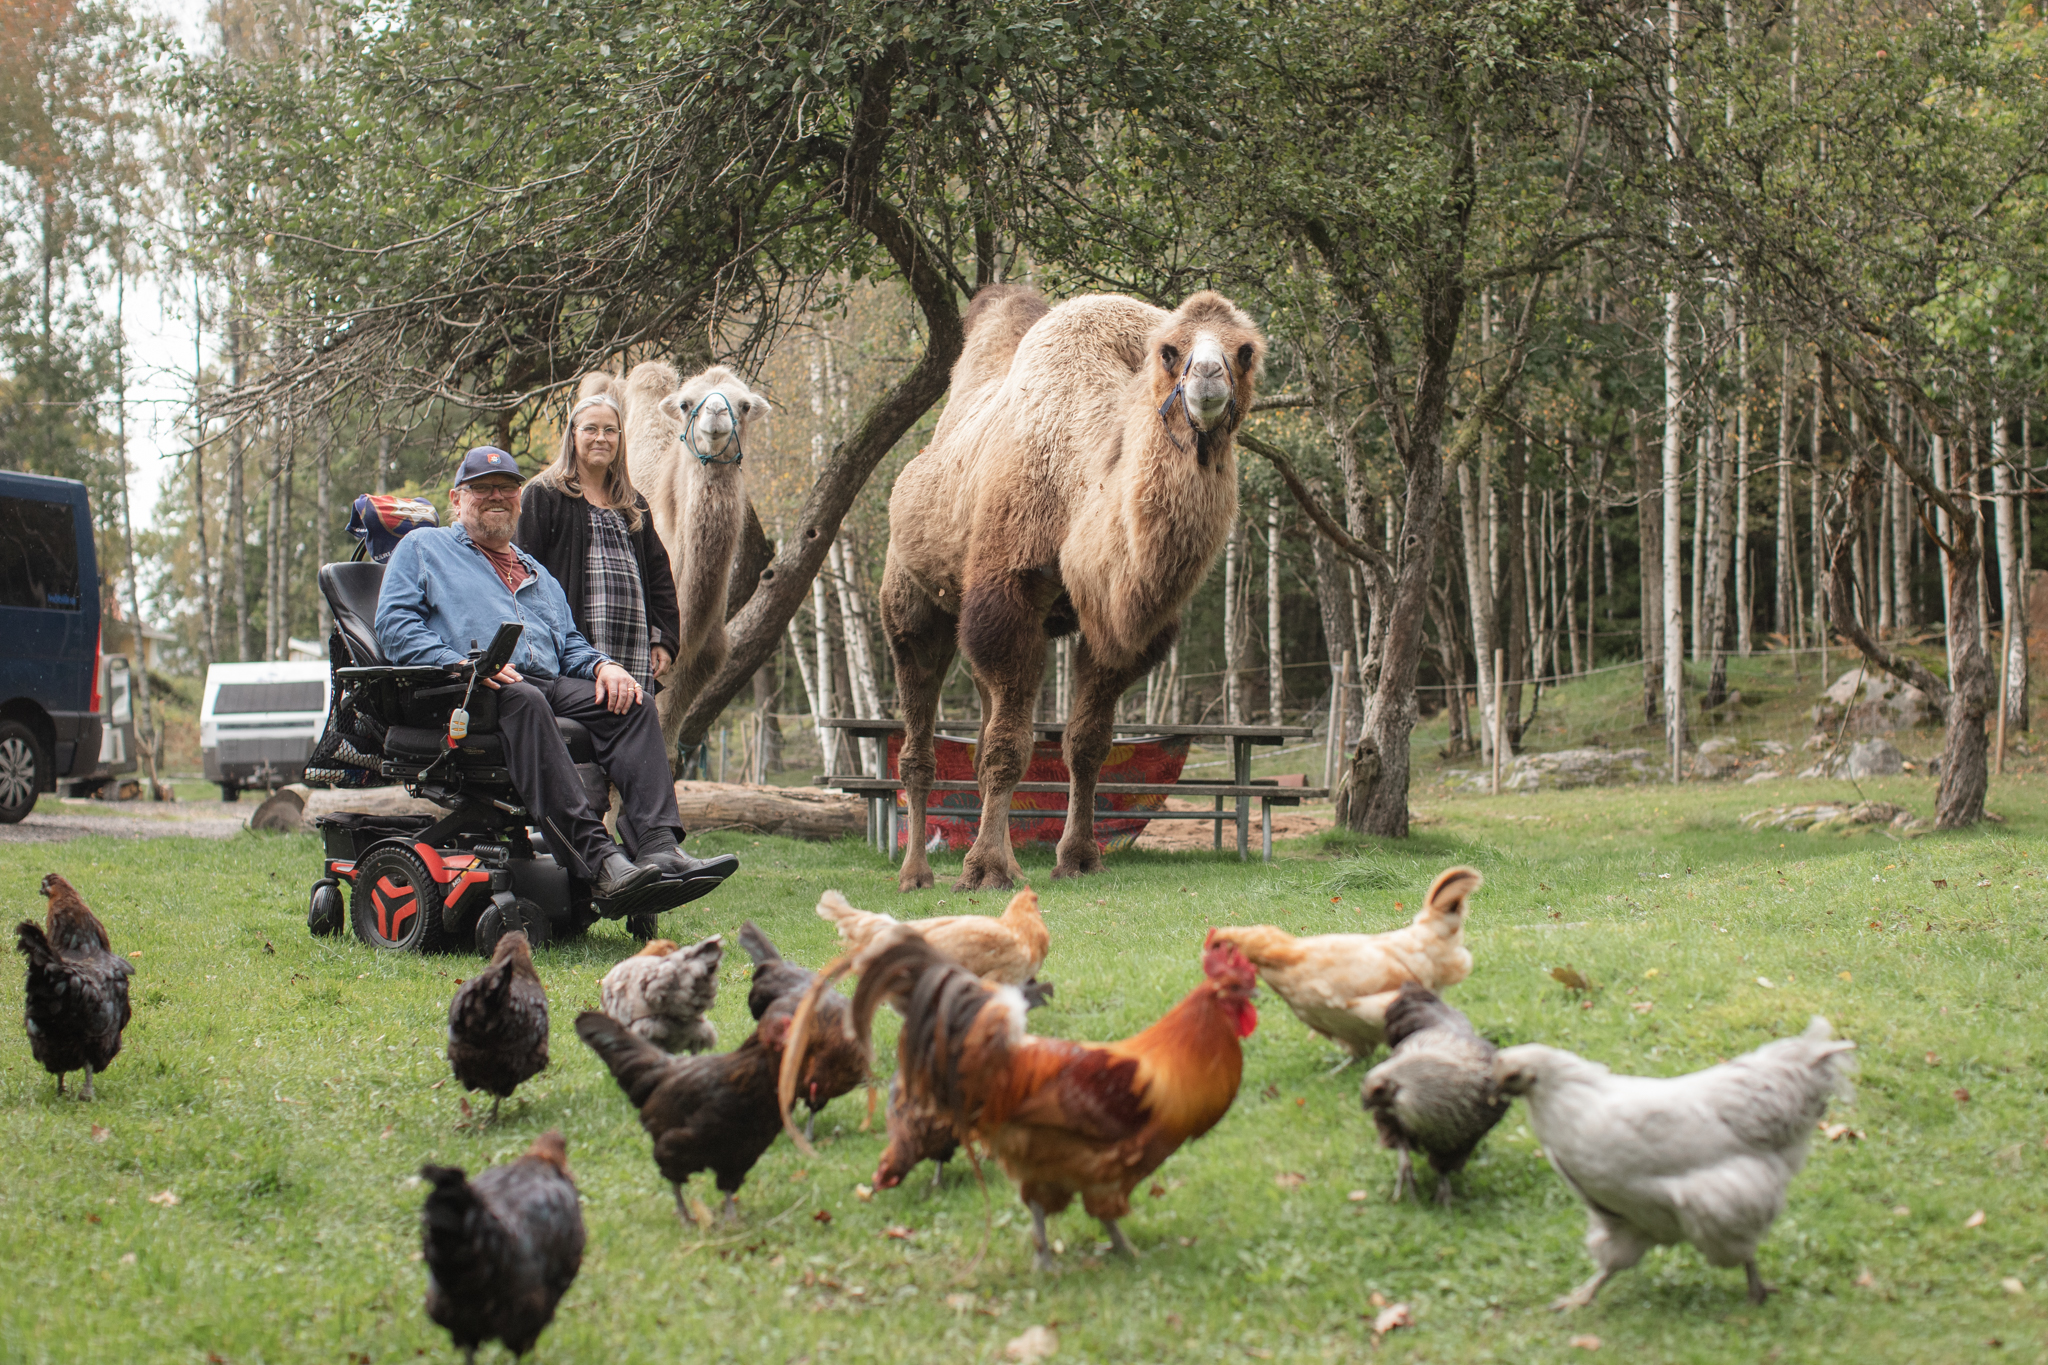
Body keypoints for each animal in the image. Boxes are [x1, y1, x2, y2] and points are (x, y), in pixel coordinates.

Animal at [884, 282, 1261, 892]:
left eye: (1246, 350)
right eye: (1169, 350)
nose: (1208, 375)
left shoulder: (1115, 627)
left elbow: (1086, 745)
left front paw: (1078, 857)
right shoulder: (1009, 595)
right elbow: (1010, 749)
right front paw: (984, 870)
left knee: (985, 722)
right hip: (913, 601)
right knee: (921, 739)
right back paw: (916, 874)